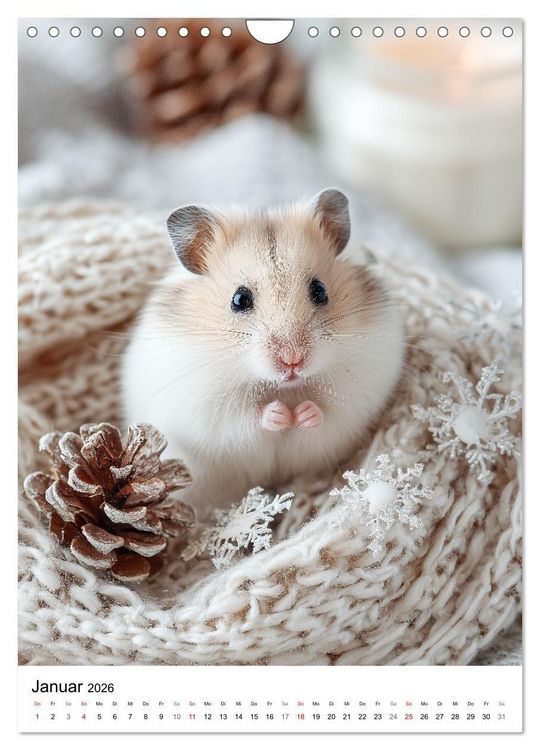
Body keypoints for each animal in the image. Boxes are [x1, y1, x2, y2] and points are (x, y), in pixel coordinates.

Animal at [121, 189, 405, 517]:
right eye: (239, 299)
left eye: (320, 291)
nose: (292, 360)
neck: (284, 388)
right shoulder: (208, 409)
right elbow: (246, 417)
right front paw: (280, 414)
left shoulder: (356, 395)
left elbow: (326, 413)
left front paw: (302, 414)